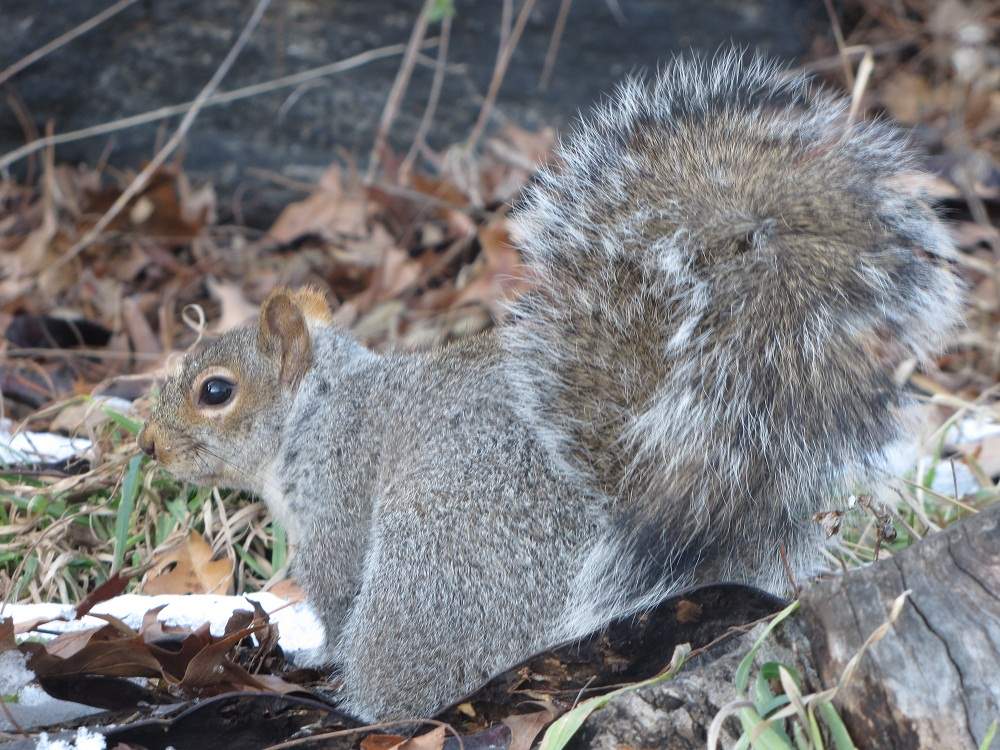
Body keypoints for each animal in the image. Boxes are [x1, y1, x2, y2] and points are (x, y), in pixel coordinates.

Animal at [137, 52, 963, 721]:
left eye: (216, 391)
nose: (148, 447)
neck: (317, 408)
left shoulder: (336, 501)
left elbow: (336, 595)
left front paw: (314, 655)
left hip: (431, 573)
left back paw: (356, 703)